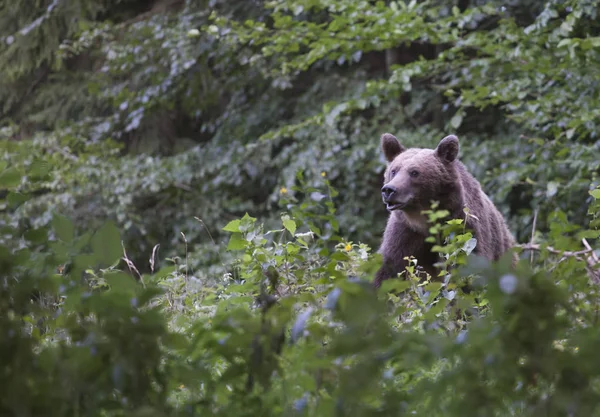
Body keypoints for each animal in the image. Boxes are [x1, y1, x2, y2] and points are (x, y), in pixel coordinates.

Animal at [372, 132, 512, 288]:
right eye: (393, 171)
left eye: (414, 172)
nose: (389, 190)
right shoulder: (405, 233)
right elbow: (387, 269)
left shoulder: (463, 229)